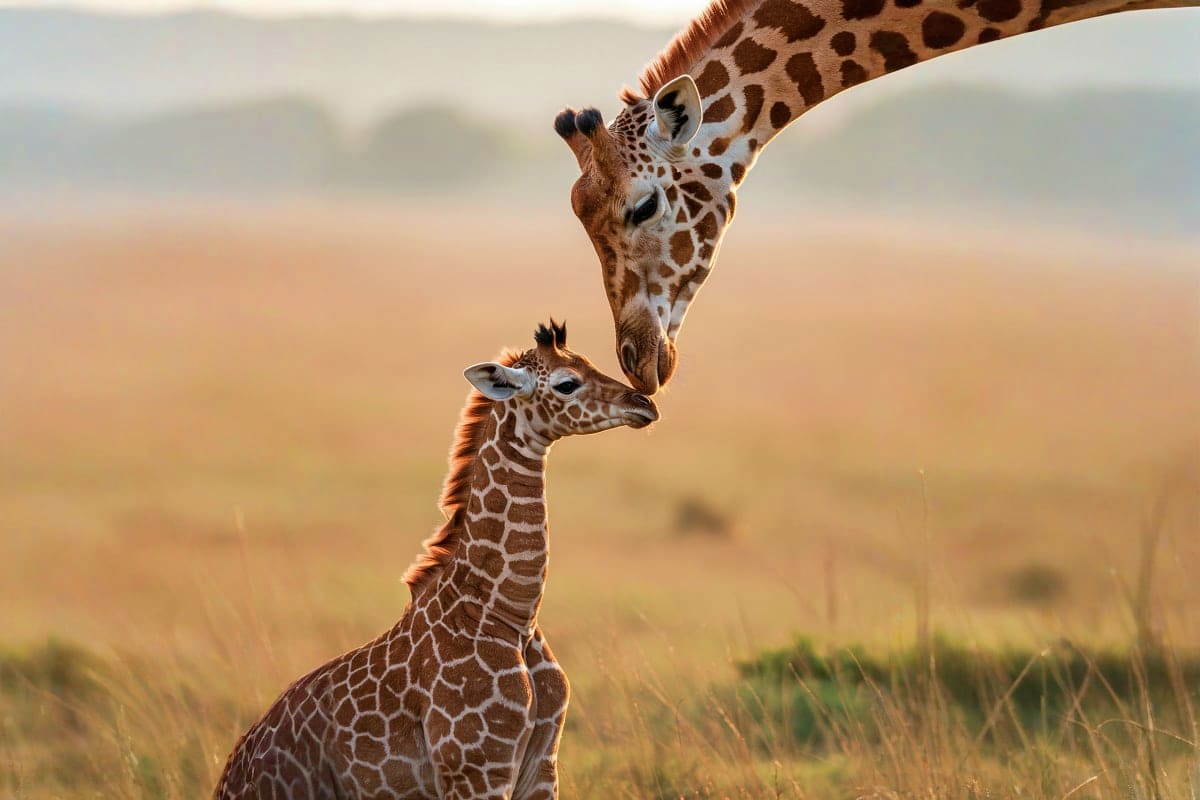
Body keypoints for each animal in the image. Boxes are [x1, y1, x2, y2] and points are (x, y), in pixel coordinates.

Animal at [214, 321, 658, 800]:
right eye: (566, 383)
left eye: (592, 362)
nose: (644, 403)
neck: (511, 613)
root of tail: (229, 774)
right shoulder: (475, 769)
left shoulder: (541, 768)